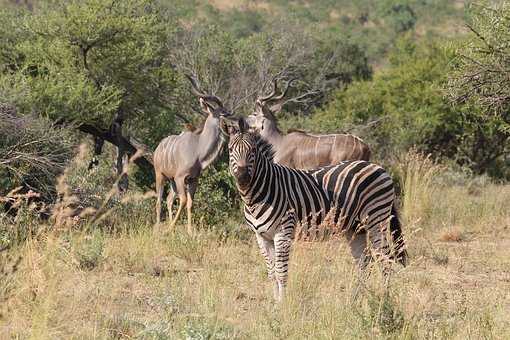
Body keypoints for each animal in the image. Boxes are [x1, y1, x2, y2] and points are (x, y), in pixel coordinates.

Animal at [223, 118, 406, 302]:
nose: (243, 178)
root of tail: (378, 167)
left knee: (385, 258)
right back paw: (358, 299)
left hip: (376, 218)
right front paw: (275, 302)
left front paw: (283, 304)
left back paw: (384, 298)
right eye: (230, 150)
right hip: (356, 227)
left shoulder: (283, 231)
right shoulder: (261, 237)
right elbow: (271, 273)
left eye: (252, 150)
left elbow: (281, 272)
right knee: (364, 261)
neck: (259, 194)